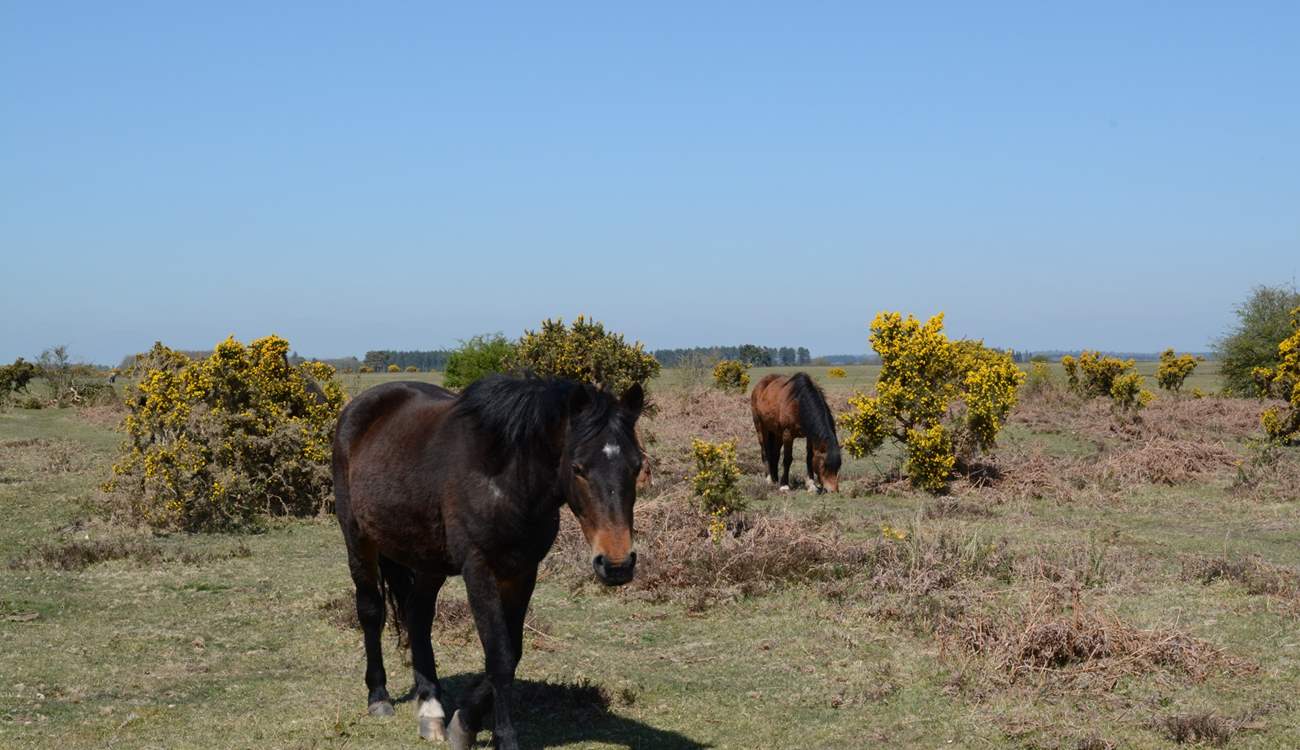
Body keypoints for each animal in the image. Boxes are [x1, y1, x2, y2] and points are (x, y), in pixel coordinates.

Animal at [332, 375, 645, 749]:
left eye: (637, 466)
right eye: (578, 468)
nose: (617, 564)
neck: (505, 478)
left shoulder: (523, 571)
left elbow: (513, 650)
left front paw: (464, 721)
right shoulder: (478, 569)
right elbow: (499, 655)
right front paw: (502, 737)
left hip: (428, 561)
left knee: (418, 615)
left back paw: (430, 708)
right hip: (357, 539)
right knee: (370, 610)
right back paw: (379, 697)